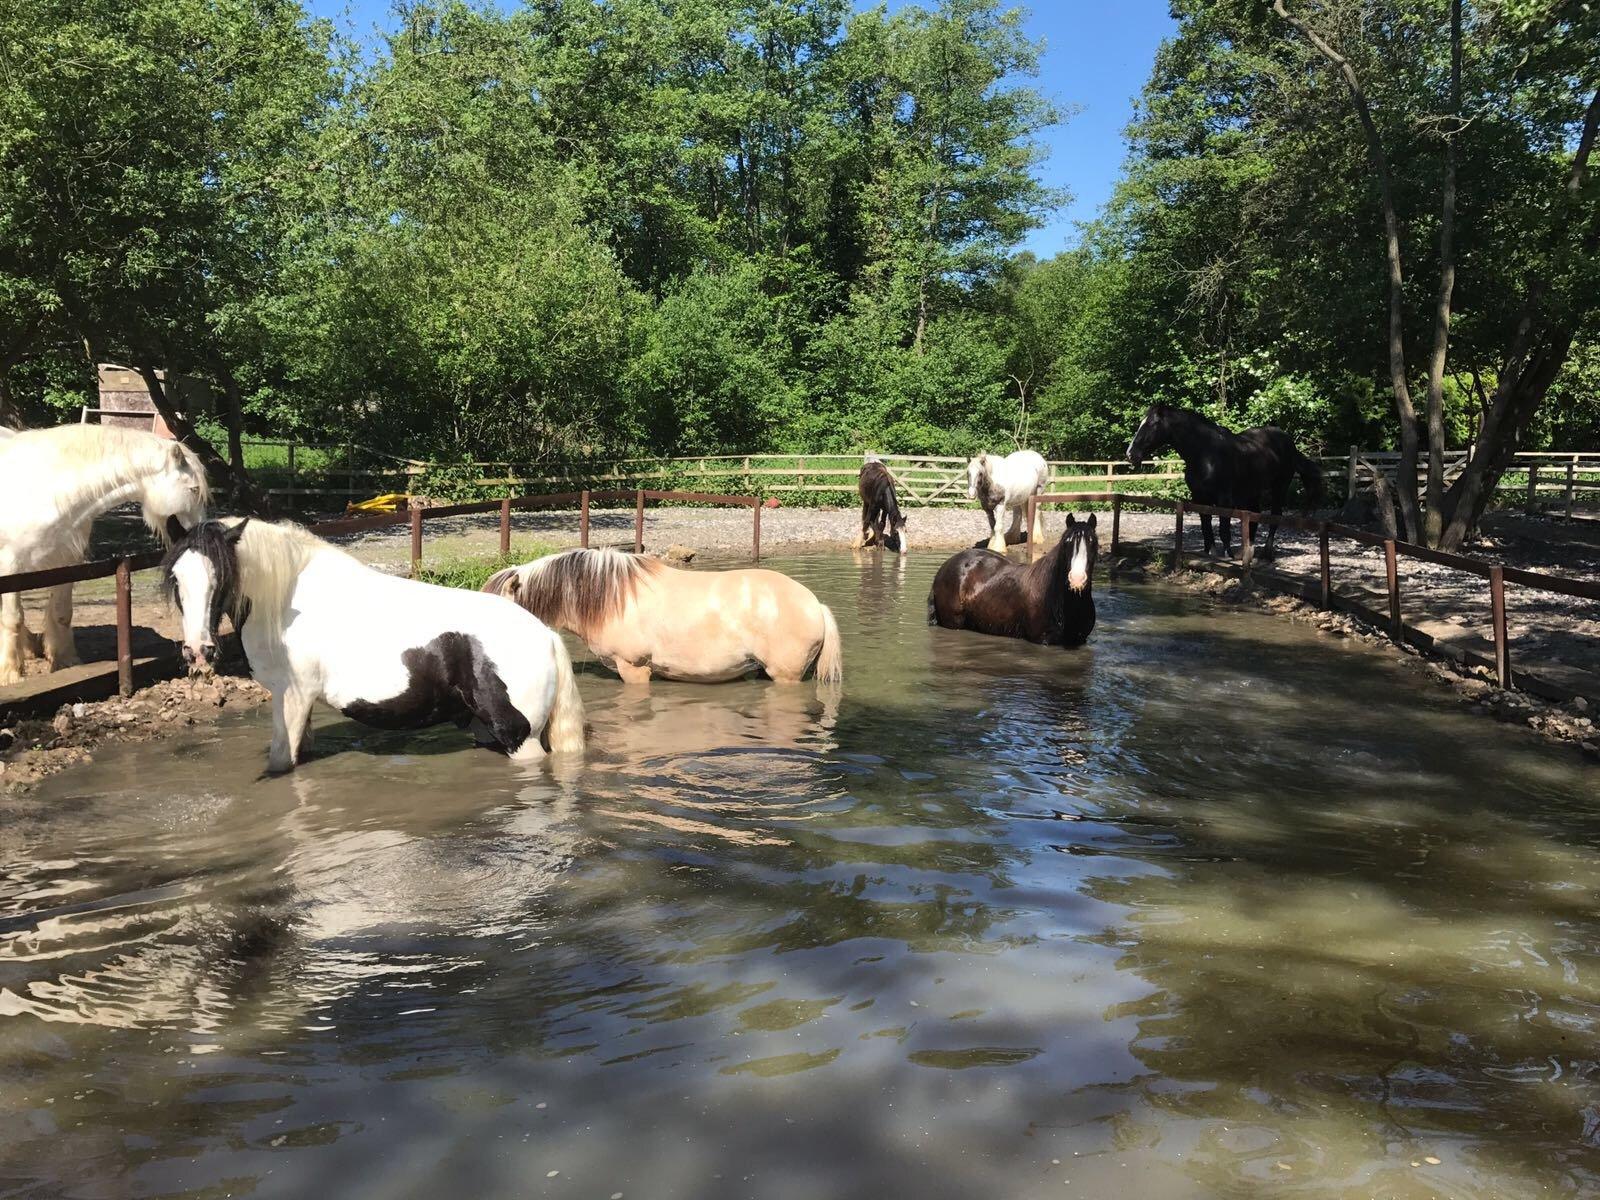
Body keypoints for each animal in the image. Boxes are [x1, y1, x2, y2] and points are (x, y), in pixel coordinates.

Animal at [0, 424, 209, 685]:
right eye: (193, 489)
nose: (200, 534)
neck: (45, 489)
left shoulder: (66, 562)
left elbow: (62, 613)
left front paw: (65, 660)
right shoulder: (10, 566)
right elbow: (13, 618)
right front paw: (11, 674)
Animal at [161, 518, 585, 773]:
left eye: (222, 576)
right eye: (177, 578)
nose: (198, 651)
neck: (286, 600)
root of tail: (545, 634)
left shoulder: (291, 696)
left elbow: (282, 763)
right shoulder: (300, 705)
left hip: (520, 738)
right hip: (487, 730)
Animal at [928, 513, 1098, 647]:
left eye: (1092, 542)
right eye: (1067, 542)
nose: (1077, 579)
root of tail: (943, 570)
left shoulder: (1080, 640)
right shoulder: (1043, 640)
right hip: (953, 622)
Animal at [1125, 403, 1323, 559]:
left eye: (1152, 424)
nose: (1130, 454)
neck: (1205, 454)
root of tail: (1289, 443)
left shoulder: (1224, 499)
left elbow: (1224, 529)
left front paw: (1226, 555)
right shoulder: (1199, 498)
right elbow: (1206, 527)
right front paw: (1209, 553)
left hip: (1279, 487)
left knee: (1275, 515)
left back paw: (1266, 553)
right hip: (1252, 491)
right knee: (1254, 515)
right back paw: (1247, 551)